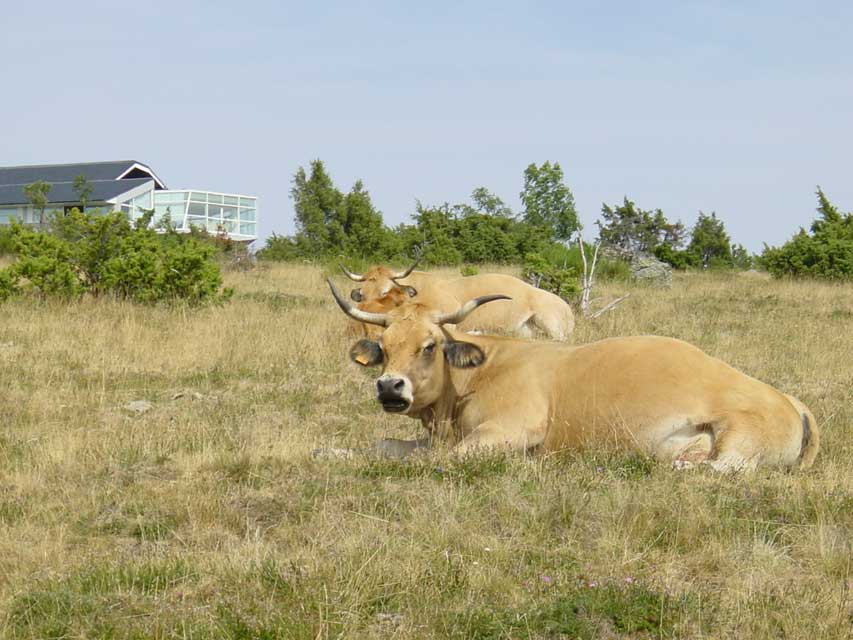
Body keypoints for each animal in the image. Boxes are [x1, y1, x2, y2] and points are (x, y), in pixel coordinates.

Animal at [326, 278, 820, 472]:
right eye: (384, 348)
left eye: (430, 346)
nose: (389, 386)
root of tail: (788, 400)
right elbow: (384, 445)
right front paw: (333, 450)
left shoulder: (508, 431)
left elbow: (435, 460)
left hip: (738, 439)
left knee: (721, 469)